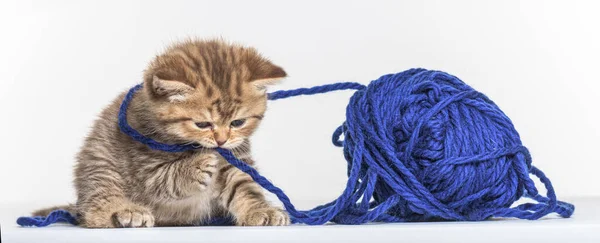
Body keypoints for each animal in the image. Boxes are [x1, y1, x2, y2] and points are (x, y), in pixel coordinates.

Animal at [32, 39, 290, 227]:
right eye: (202, 124)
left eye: (237, 122)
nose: (221, 139)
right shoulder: (144, 163)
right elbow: (165, 177)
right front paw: (196, 166)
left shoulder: (236, 156)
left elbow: (244, 186)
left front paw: (261, 210)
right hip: (100, 162)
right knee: (97, 205)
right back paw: (125, 212)